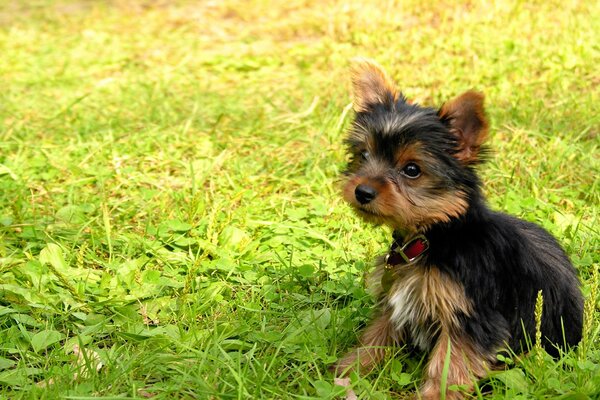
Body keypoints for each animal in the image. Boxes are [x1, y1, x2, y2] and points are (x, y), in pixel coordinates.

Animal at [332, 60, 580, 400]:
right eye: (364, 155)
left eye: (412, 170)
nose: (362, 191)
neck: (434, 236)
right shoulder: (396, 299)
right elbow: (378, 333)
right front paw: (352, 367)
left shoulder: (471, 316)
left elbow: (451, 363)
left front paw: (435, 395)